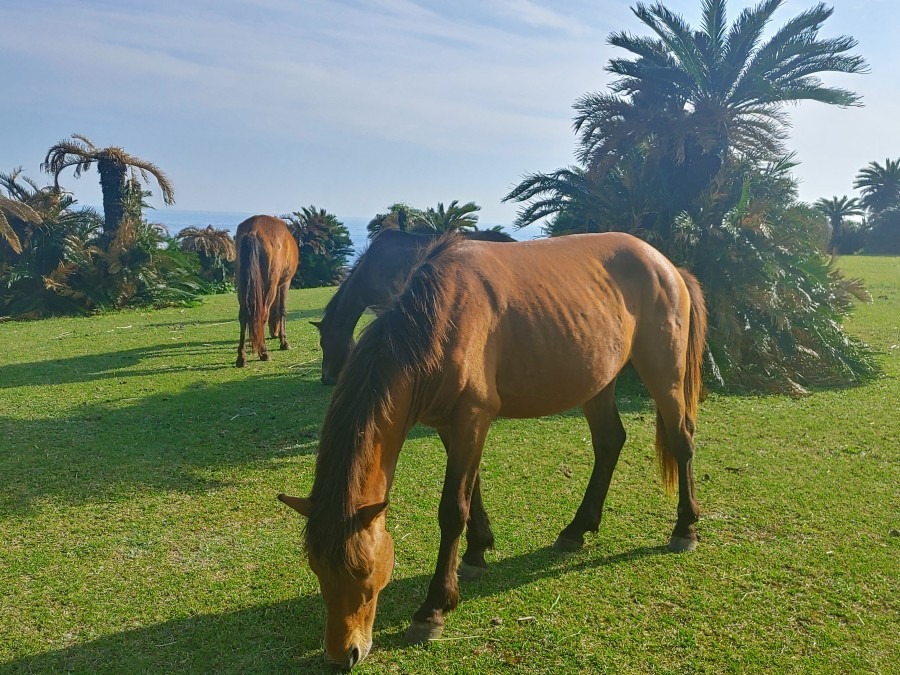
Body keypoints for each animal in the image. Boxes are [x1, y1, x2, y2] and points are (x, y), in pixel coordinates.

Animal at [236, 214, 298, 368]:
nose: (274, 333)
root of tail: (253, 230)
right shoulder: (284, 283)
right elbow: (282, 309)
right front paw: (284, 342)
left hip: (242, 283)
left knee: (243, 315)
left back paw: (241, 357)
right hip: (270, 283)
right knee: (263, 312)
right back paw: (264, 352)